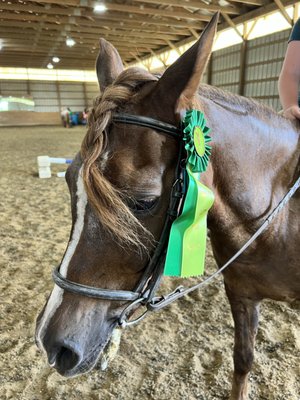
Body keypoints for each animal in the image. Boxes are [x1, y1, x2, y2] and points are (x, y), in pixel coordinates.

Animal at [35, 14, 300, 398]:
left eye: (144, 201)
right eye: (71, 181)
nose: (52, 344)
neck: (274, 219)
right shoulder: (241, 294)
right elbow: (243, 360)